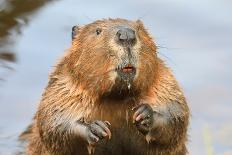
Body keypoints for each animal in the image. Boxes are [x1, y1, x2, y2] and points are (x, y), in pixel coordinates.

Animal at [20, 18, 189, 155]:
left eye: (139, 29)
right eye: (98, 31)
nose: (126, 35)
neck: (116, 98)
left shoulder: (163, 82)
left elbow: (177, 113)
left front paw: (144, 115)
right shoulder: (63, 85)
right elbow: (53, 121)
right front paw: (97, 128)